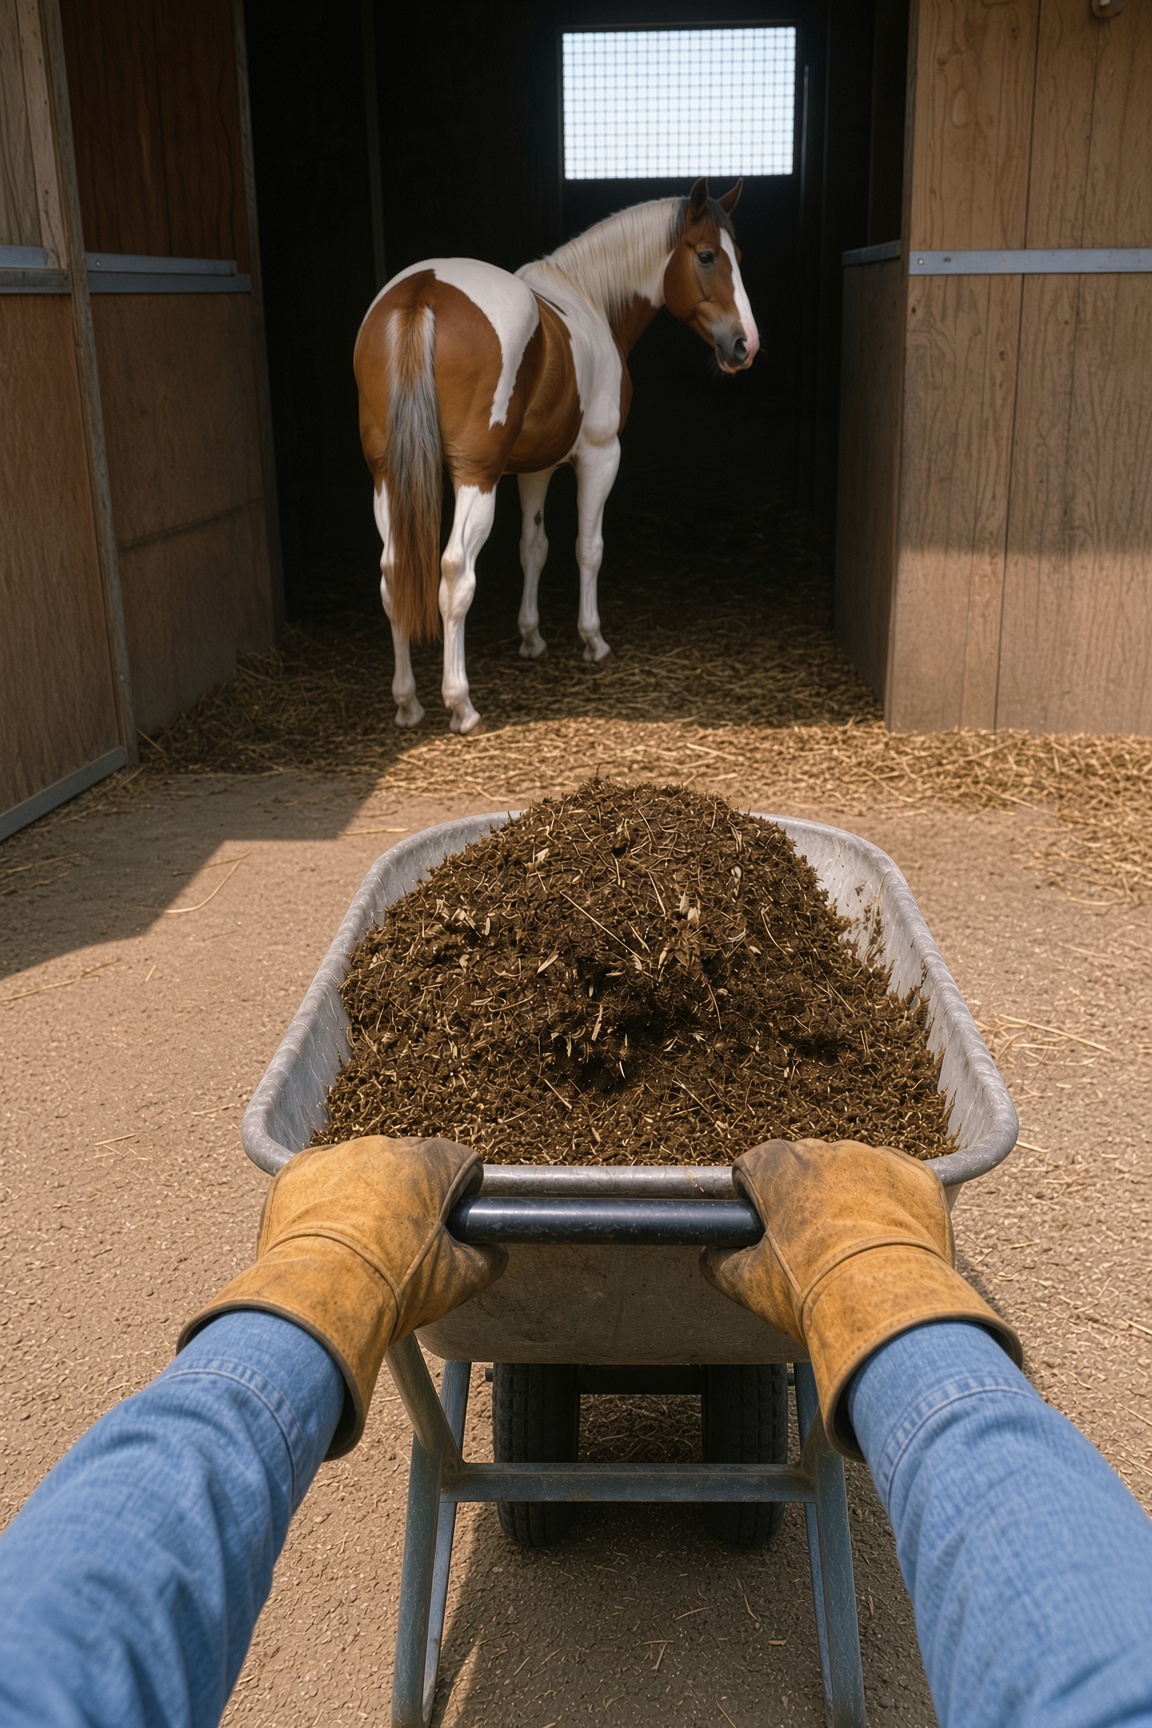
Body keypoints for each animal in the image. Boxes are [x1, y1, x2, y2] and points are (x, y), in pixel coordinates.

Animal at [354, 178, 758, 734]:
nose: (745, 345)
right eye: (706, 256)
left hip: (387, 477)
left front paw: (531, 636)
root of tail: (422, 292)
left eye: (738, 256)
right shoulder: (600, 458)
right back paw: (461, 705)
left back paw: (408, 703)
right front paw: (593, 640)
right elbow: (588, 549)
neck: (590, 301)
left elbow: (534, 546)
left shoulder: (535, 469)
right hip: (475, 478)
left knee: (394, 574)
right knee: (455, 574)